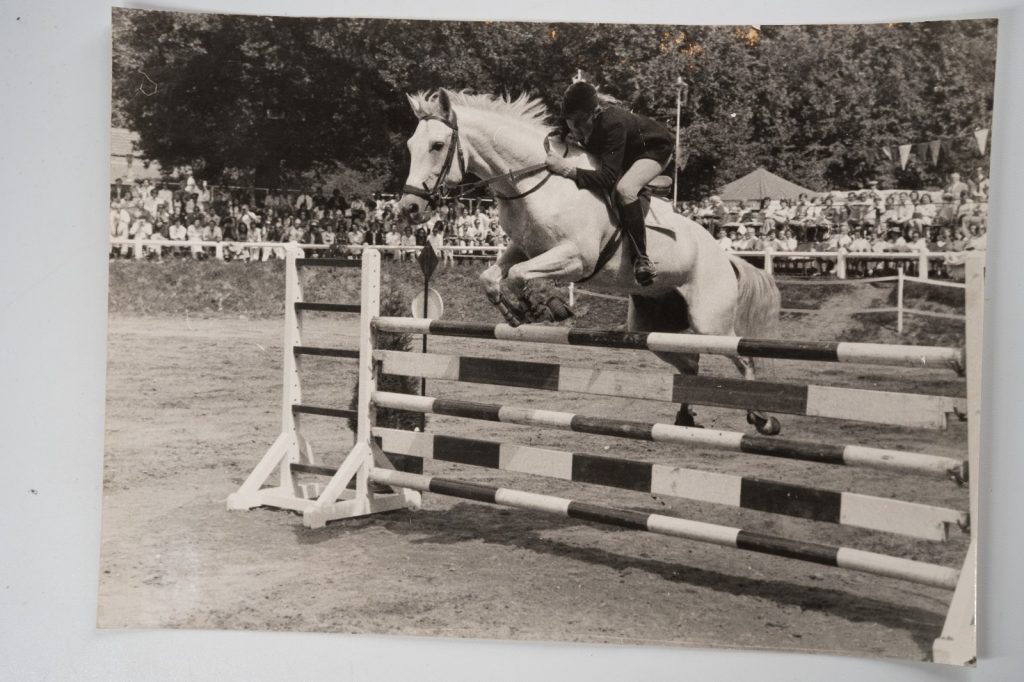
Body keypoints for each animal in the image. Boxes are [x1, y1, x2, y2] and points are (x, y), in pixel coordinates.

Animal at [396, 89, 783, 434]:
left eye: (437, 146)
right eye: (410, 146)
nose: (409, 208)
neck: (538, 181)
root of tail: (727, 258)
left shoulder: (576, 258)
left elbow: (521, 275)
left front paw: (543, 306)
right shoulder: (524, 247)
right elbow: (492, 277)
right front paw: (515, 310)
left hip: (710, 321)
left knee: (743, 359)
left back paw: (764, 418)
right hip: (652, 325)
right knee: (690, 363)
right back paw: (685, 418)